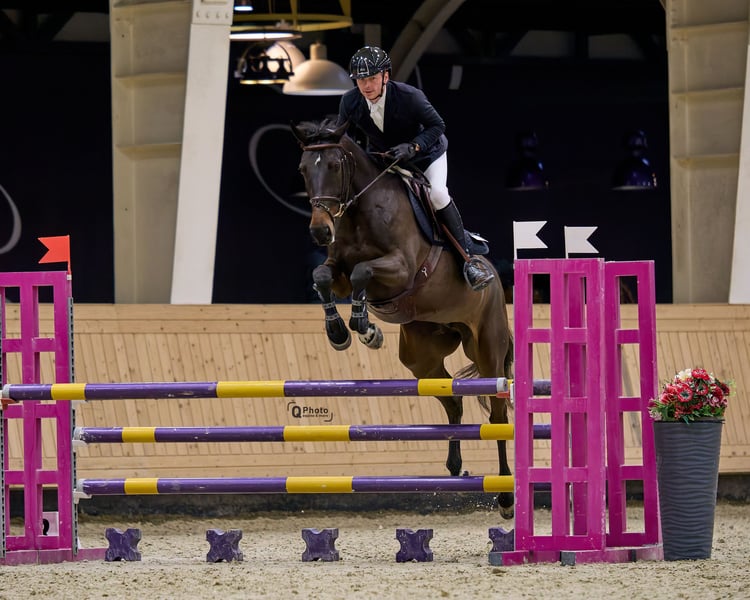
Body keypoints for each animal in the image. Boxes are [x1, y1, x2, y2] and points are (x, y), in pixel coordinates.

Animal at [292, 117, 515, 518]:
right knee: (452, 399)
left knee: (498, 415)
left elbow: (364, 271)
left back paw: (506, 498)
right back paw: (455, 466)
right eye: (303, 170)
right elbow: (323, 277)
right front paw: (341, 332)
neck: (359, 213)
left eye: (333, 166)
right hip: (421, 355)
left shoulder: (401, 269)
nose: (320, 230)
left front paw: (365, 329)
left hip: (488, 347)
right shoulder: (337, 269)